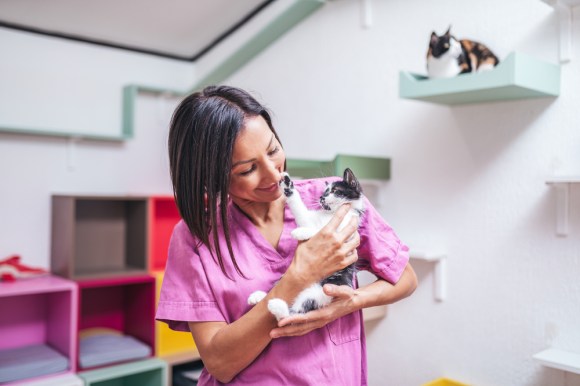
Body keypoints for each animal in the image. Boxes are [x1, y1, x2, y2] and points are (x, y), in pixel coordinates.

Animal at [246, 167, 364, 322]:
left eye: (335, 191)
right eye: (324, 192)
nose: (321, 198)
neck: (331, 214)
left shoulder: (346, 231)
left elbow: (319, 230)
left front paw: (301, 232)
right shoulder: (309, 219)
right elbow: (302, 214)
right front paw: (287, 184)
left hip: (322, 291)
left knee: (294, 312)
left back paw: (277, 306)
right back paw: (259, 297)